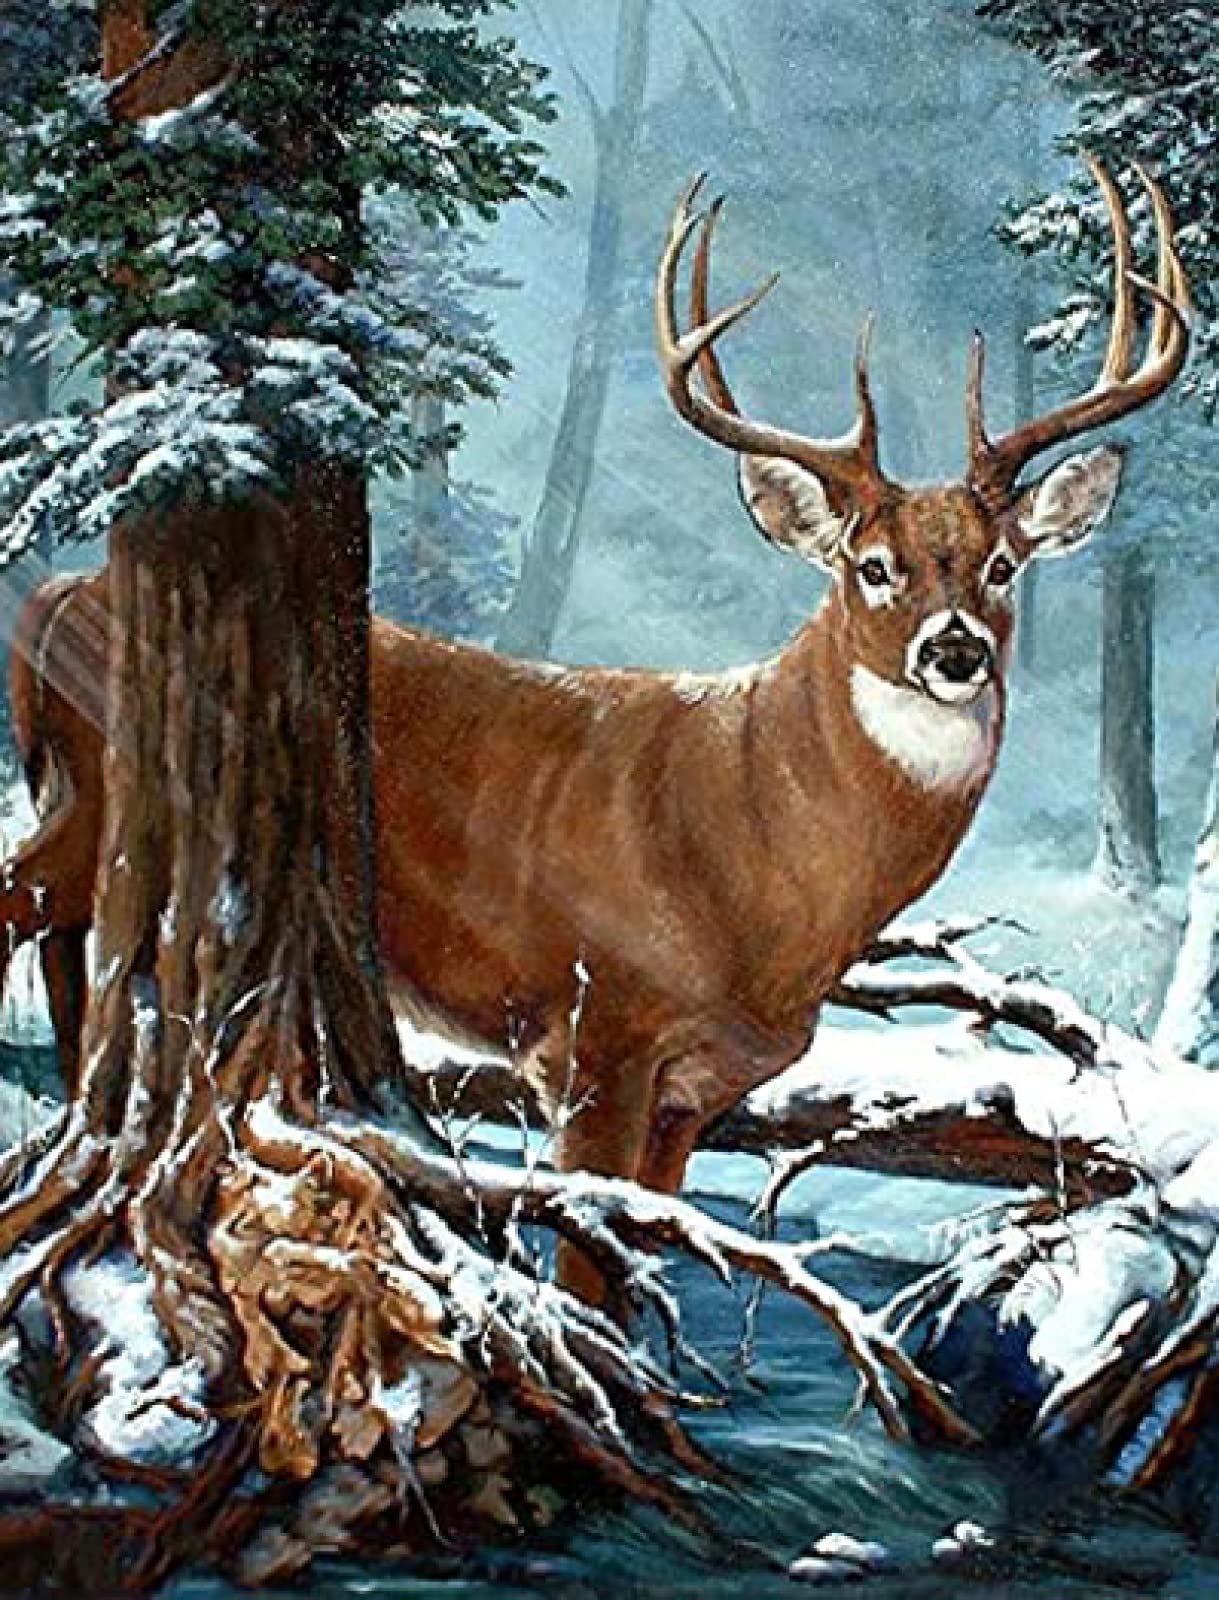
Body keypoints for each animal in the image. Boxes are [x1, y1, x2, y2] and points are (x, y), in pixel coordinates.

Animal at [0, 160, 1190, 1298]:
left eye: (1003, 566)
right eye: (872, 566)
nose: (955, 651)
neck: (762, 858)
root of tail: (56, 596)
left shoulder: (693, 1086)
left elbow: (642, 1256)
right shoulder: (593, 1036)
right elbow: (588, 1254)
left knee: (79, 965)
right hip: (96, 801)